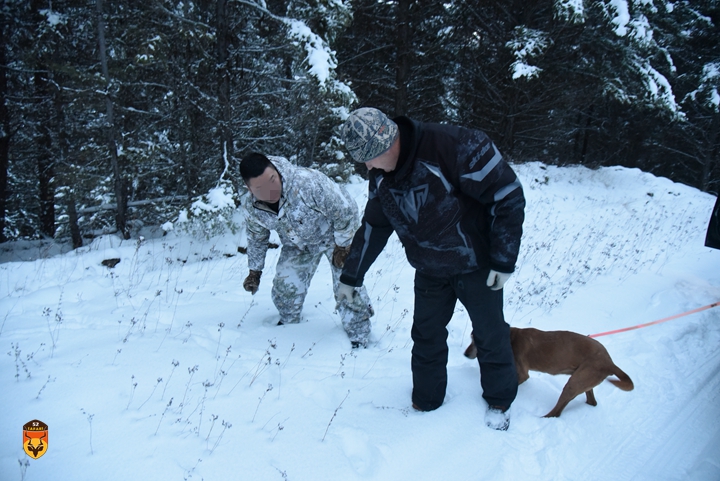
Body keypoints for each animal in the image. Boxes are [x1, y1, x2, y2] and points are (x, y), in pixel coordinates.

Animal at [464, 326, 632, 416]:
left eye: (475, 341)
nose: (465, 354)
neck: (511, 338)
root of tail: (610, 362)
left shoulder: (523, 374)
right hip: (583, 380)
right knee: (591, 401)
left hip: (573, 384)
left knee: (557, 412)